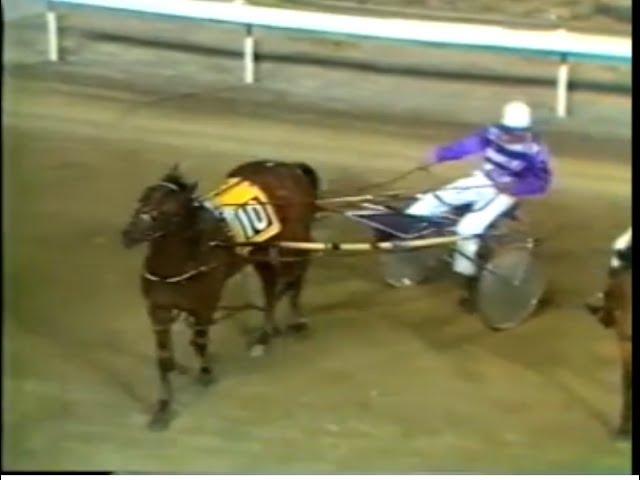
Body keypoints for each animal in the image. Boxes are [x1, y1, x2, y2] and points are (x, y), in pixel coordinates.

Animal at [120, 159, 320, 430]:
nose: (129, 235)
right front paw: (162, 408)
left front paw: (206, 373)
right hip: (259, 251)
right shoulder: (158, 310)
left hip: (293, 244)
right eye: (143, 197)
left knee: (294, 280)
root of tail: (287, 166)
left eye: (170, 212)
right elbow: (165, 360)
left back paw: (296, 321)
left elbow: (199, 341)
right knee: (271, 287)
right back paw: (264, 335)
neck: (181, 264)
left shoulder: (205, 305)